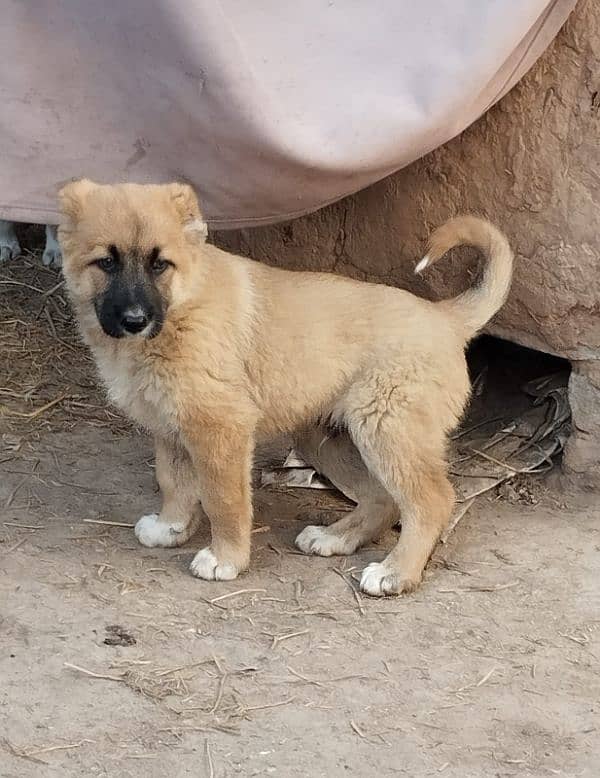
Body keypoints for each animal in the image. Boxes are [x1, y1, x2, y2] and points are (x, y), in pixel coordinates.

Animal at [58, 180, 512, 596]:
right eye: (106, 263)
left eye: (160, 265)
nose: (135, 320)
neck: (181, 307)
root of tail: (445, 317)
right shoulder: (170, 428)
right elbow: (174, 481)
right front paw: (171, 527)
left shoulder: (221, 427)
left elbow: (223, 499)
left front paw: (225, 558)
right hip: (328, 438)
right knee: (382, 498)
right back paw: (334, 537)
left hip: (389, 429)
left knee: (431, 501)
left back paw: (395, 572)